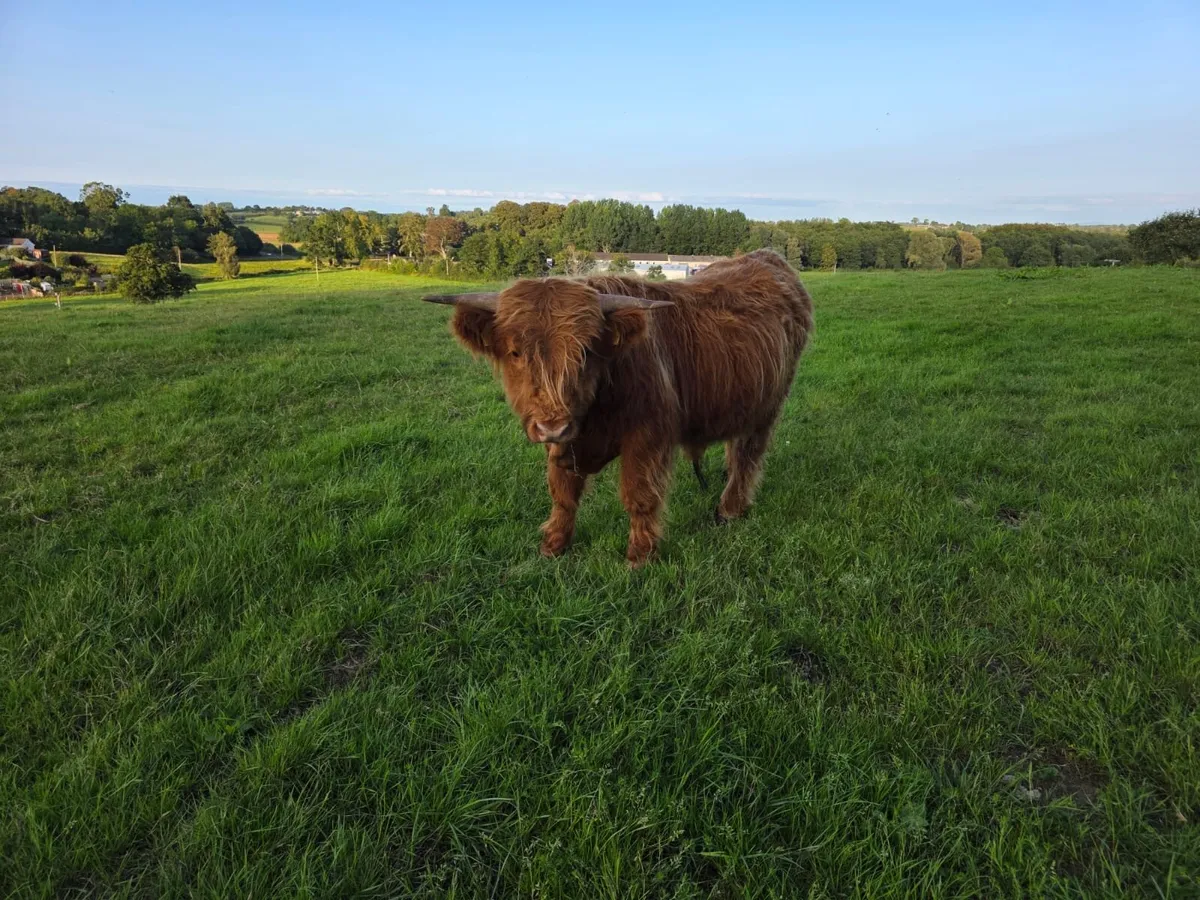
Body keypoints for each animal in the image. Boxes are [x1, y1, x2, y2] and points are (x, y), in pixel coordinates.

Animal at [423, 249, 814, 566]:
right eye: (516, 352)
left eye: (585, 351)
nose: (552, 426)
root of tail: (769, 257)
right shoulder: (563, 441)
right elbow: (563, 493)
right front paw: (554, 544)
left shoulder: (648, 435)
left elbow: (639, 495)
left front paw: (640, 555)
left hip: (769, 404)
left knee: (749, 454)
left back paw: (728, 509)